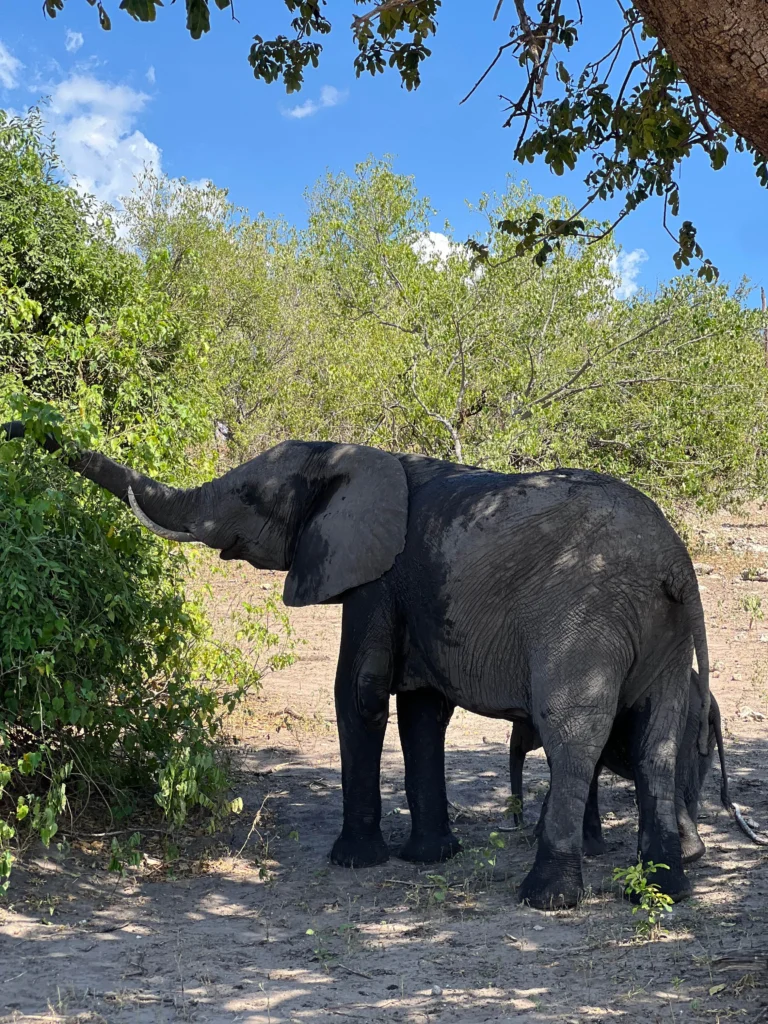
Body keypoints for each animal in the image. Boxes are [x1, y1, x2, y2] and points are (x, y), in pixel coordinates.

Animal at [2, 421, 714, 909]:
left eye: (248, 494)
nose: (16, 428)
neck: (349, 454)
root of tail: (675, 565)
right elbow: (423, 711)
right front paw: (428, 860)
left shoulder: (375, 577)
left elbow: (361, 695)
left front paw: (353, 862)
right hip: (666, 636)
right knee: (656, 740)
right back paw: (661, 891)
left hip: (587, 616)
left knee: (575, 734)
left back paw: (546, 898)